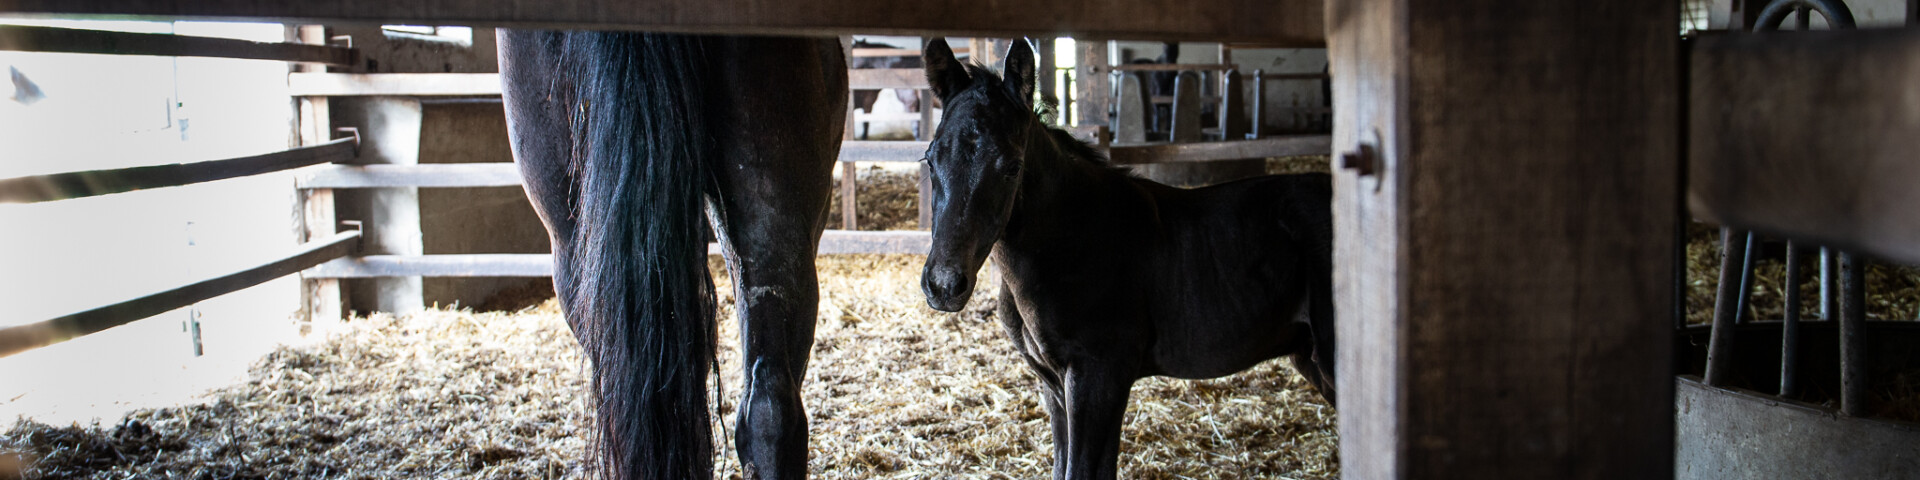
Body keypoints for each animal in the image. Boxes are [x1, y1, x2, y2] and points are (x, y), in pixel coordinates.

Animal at [915, 38, 1337, 480]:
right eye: (930, 158)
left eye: (1012, 167)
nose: (945, 284)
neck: (1075, 240)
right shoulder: (1053, 386)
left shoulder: (1099, 377)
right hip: (1309, 355)